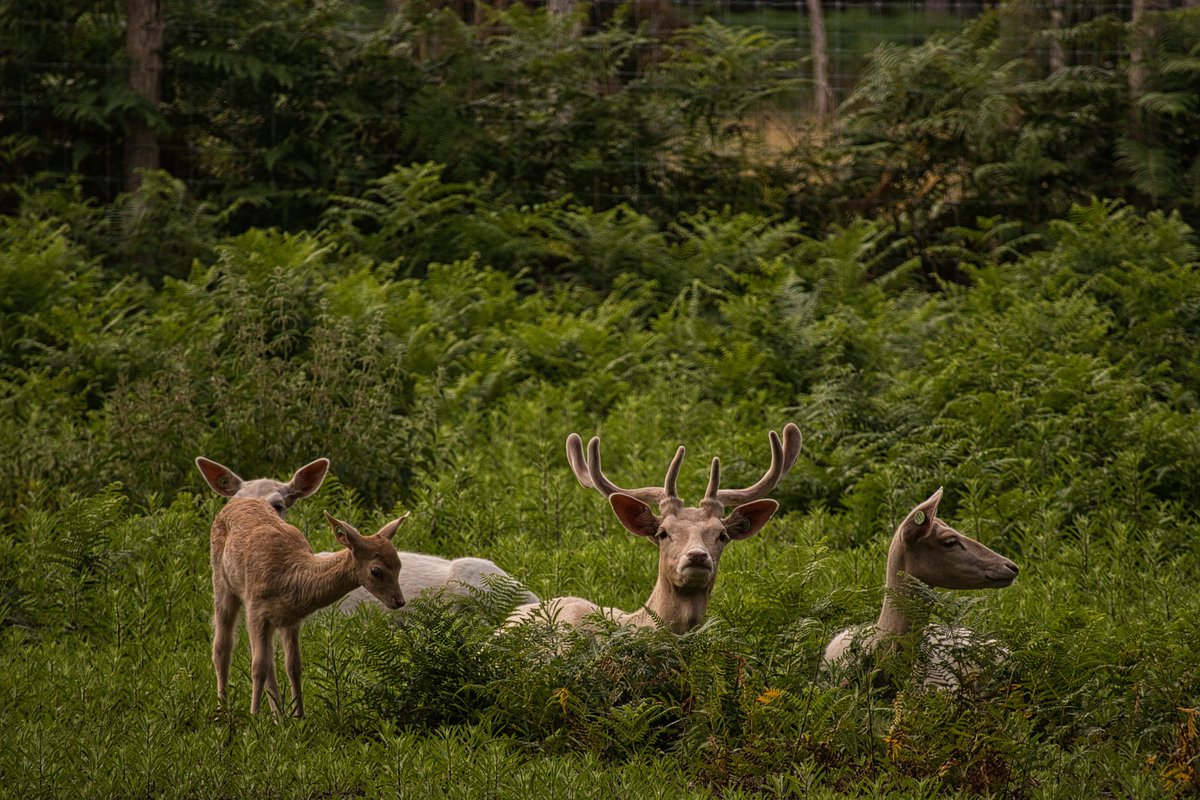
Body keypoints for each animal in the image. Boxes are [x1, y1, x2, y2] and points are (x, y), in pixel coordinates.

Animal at [209, 497, 407, 718]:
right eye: (375, 571)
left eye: (399, 565)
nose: (399, 601)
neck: (291, 579)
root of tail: (236, 500)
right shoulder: (256, 609)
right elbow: (258, 666)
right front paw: (254, 717)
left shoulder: (291, 619)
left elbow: (293, 665)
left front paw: (299, 717)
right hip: (222, 582)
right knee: (222, 647)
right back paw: (223, 711)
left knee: (269, 660)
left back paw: (278, 716)